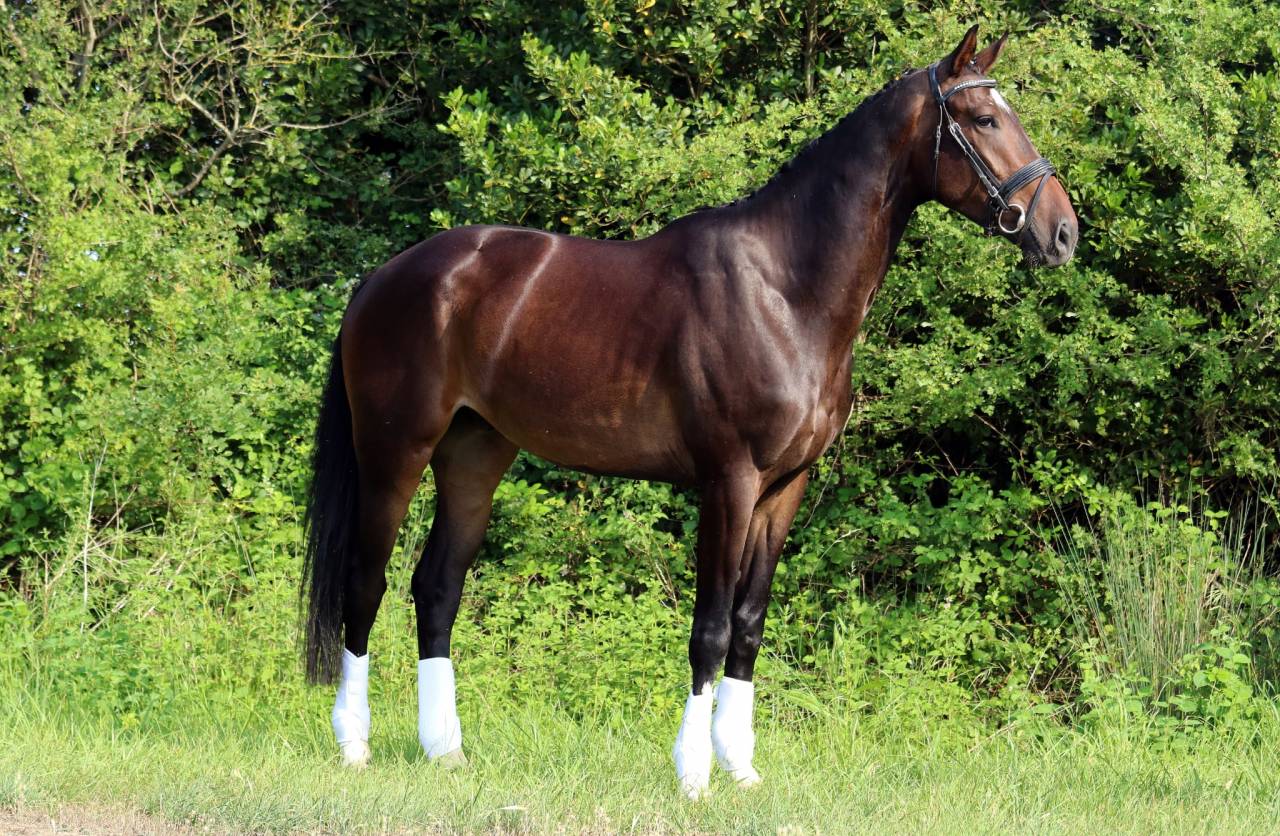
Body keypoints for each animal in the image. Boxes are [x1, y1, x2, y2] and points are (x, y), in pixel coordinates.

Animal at [301, 24, 1077, 798]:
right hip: (395, 454)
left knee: (436, 587)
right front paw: (695, 773)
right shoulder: (728, 482)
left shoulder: (783, 489)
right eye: (984, 119)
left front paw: (741, 766)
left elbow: (749, 625)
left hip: (475, 453)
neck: (784, 289)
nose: (1064, 232)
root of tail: (384, 277)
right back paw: (353, 744)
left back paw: (446, 751)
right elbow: (710, 628)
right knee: (364, 584)